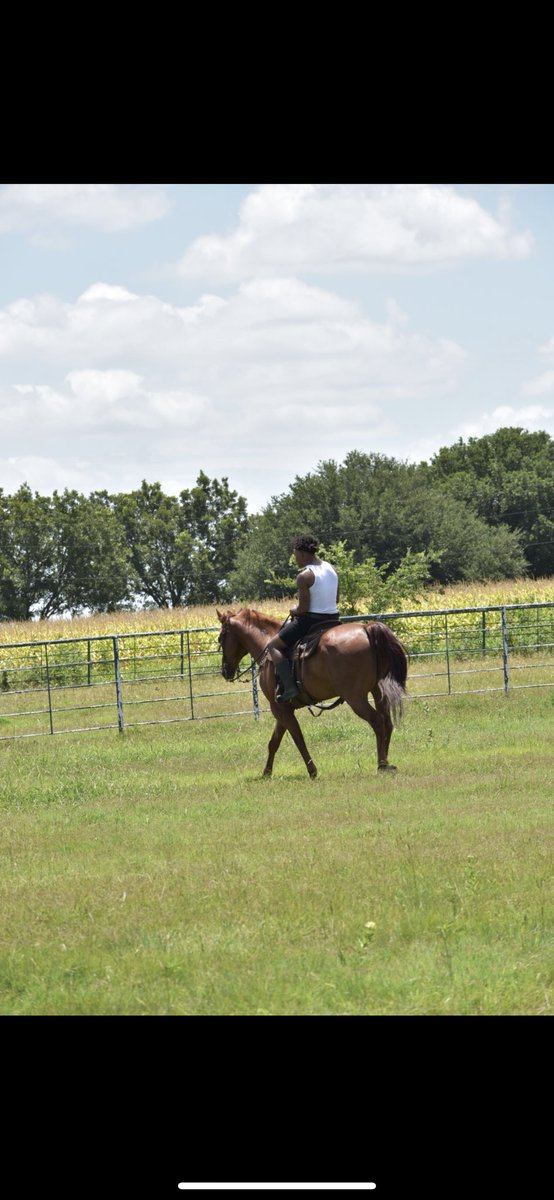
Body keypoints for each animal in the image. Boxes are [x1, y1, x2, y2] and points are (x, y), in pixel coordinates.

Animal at [216, 608, 408, 779]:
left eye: (220, 638)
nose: (225, 671)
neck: (266, 646)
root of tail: (366, 628)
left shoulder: (279, 709)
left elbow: (298, 738)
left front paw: (312, 771)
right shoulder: (283, 709)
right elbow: (274, 742)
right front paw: (266, 773)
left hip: (356, 698)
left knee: (377, 721)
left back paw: (382, 765)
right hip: (377, 691)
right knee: (387, 723)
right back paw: (386, 762)